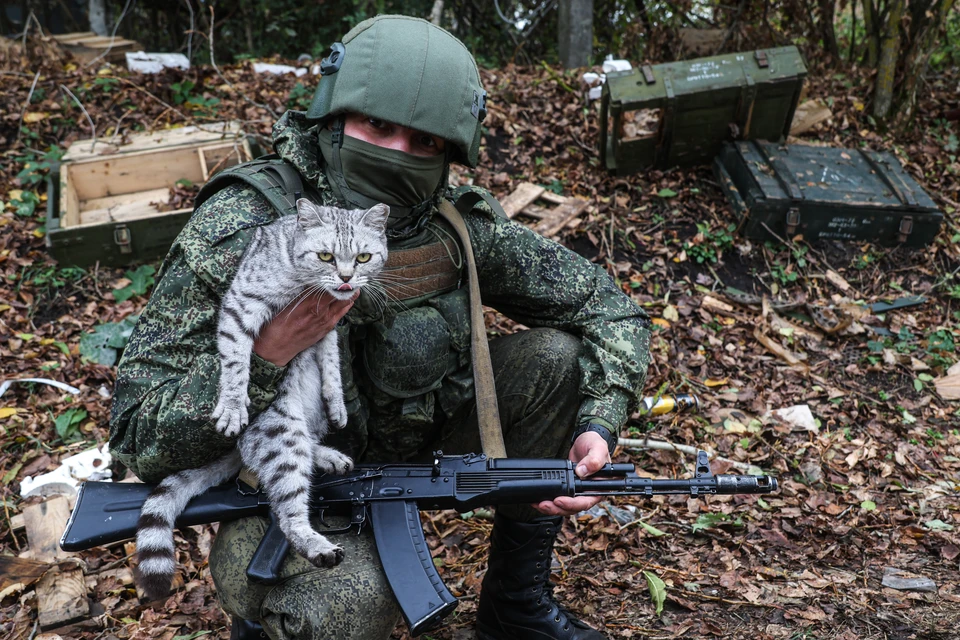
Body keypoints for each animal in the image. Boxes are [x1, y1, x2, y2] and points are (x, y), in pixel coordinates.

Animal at [135, 200, 390, 600]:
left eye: (364, 257)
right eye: (326, 256)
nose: (347, 279)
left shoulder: (328, 329)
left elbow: (331, 362)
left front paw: (337, 401)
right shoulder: (241, 307)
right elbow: (237, 360)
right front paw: (232, 405)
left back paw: (330, 456)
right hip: (280, 428)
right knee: (287, 512)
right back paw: (318, 545)